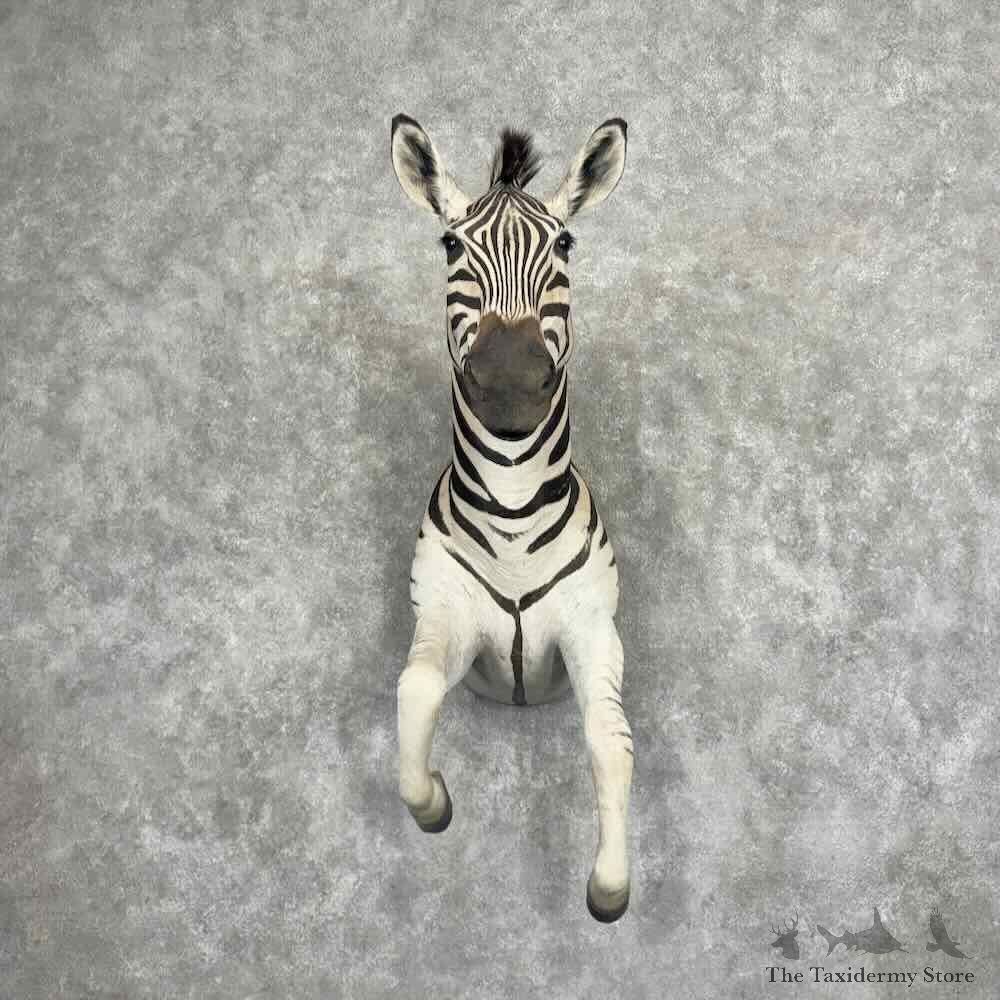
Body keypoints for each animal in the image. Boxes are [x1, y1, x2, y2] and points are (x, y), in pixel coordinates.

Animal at [390, 115, 633, 923]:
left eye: (566, 245)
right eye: (449, 246)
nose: (510, 385)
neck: (514, 508)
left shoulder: (593, 627)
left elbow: (609, 738)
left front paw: (609, 884)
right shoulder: (445, 615)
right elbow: (415, 690)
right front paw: (432, 801)